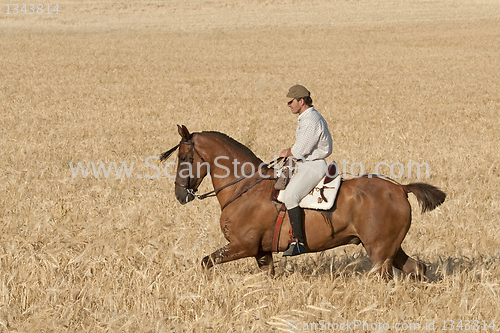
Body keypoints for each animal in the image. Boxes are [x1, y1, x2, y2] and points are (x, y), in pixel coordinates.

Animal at [162, 124, 448, 278]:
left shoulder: (242, 246)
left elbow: (206, 261)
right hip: (391, 249)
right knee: (418, 268)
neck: (244, 188)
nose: (179, 195)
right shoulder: (262, 253)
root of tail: (400, 188)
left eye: (184, 158)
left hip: (379, 253)